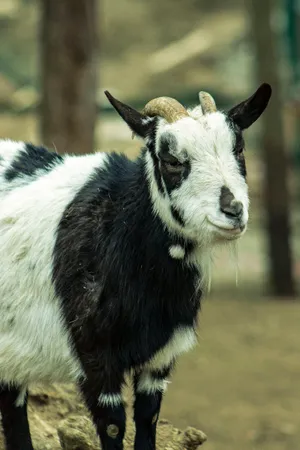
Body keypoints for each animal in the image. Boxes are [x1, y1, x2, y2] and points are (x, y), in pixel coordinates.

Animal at [0, 82, 272, 448]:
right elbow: (115, 425)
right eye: (171, 159)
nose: (233, 211)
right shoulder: (94, 356)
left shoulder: (161, 358)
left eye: (239, 150)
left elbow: (147, 417)